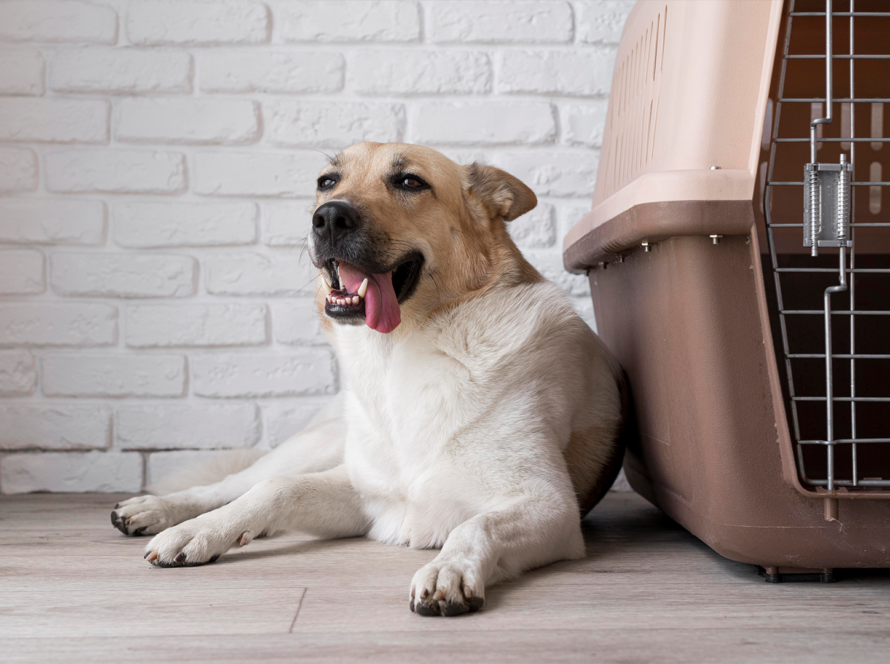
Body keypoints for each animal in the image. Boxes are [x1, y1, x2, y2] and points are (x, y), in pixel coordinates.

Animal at [111, 144, 624, 616]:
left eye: (410, 182)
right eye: (327, 181)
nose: (328, 218)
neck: (398, 355)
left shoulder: (549, 505)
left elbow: (475, 525)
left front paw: (448, 568)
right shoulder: (364, 491)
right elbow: (278, 488)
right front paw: (200, 532)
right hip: (319, 443)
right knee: (238, 481)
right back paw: (158, 510)